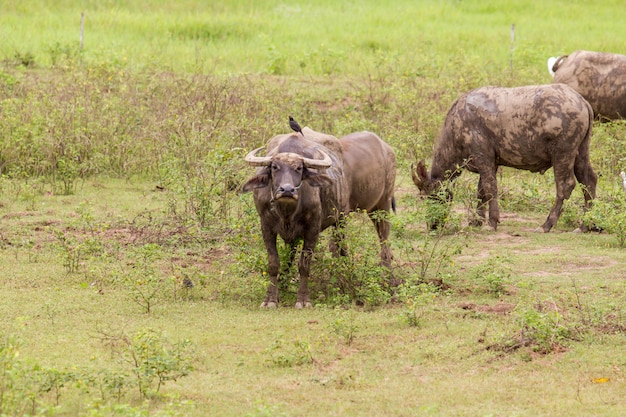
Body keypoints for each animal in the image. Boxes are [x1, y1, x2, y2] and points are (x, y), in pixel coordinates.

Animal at [240, 127, 394, 306]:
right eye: (274, 167)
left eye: (299, 168)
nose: (287, 190)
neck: (286, 211)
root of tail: (387, 149)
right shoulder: (266, 226)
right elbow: (273, 263)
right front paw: (271, 299)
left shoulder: (312, 228)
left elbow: (304, 265)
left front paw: (303, 300)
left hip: (379, 206)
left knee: (381, 243)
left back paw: (387, 281)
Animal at [410, 83, 596, 232]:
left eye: (431, 196)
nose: (432, 225)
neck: (457, 123)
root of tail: (581, 100)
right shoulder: (491, 163)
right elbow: (481, 191)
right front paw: (476, 221)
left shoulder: (483, 157)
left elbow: (490, 187)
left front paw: (492, 222)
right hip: (581, 152)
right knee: (589, 181)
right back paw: (586, 225)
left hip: (562, 154)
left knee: (565, 185)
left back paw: (547, 225)